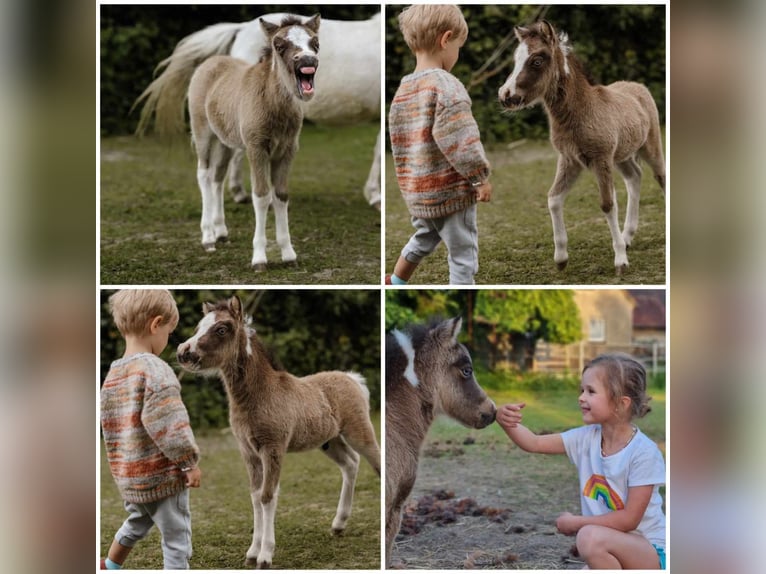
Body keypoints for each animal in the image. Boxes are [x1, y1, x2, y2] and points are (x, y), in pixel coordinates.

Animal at [180, 296, 384, 572]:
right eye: (198, 327)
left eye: (221, 329)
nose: (183, 352)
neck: (259, 394)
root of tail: (352, 379)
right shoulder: (248, 452)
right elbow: (255, 496)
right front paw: (251, 553)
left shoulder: (273, 448)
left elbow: (268, 496)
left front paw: (265, 556)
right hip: (329, 441)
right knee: (351, 463)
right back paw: (338, 524)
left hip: (358, 431)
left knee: (378, 462)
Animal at [189, 14, 320, 272]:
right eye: (279, 46)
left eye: (315, 43)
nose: (308, 60)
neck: (273, 104)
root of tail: (210, 62)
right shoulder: (256, 149)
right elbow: (261, 196)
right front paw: (259, 258)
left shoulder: (287, 150)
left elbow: (281, 195)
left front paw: (289, 254)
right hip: (203, 132)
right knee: (204, 174)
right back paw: (208, 237)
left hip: (226, 141)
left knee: (217, 177)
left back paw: (220, 231)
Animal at [498, 21, 664, 276]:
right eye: (516, 58)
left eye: (537, 60)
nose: (505, 95)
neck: (581, 111)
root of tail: (637, 86)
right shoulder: (569, 160)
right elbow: (553, 198)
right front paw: (561, 258)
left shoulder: (601, 158)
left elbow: (607, 204)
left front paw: (620, 261)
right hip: (622, 156)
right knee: (635, 177)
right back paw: (627, 236)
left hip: (650, 145)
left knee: (661, 177)